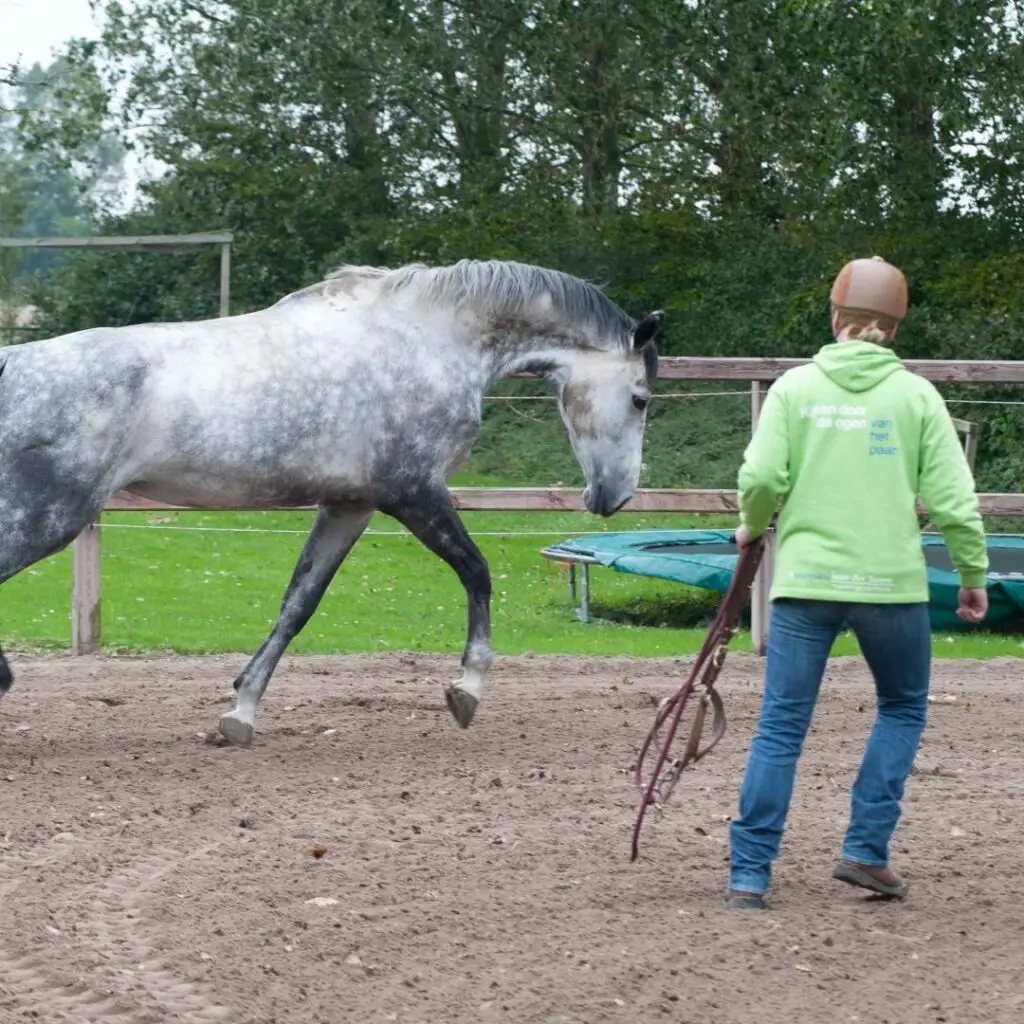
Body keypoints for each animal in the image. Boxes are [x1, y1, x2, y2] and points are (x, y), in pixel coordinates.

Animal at [0, 258, 662, 745]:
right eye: (640, 398)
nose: (614, 496)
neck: (431, 341)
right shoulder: (414, 493)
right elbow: (476, 572)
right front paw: (466, 690)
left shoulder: (351, 504)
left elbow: (299, 602)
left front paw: (240, 713)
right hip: (48, 516)